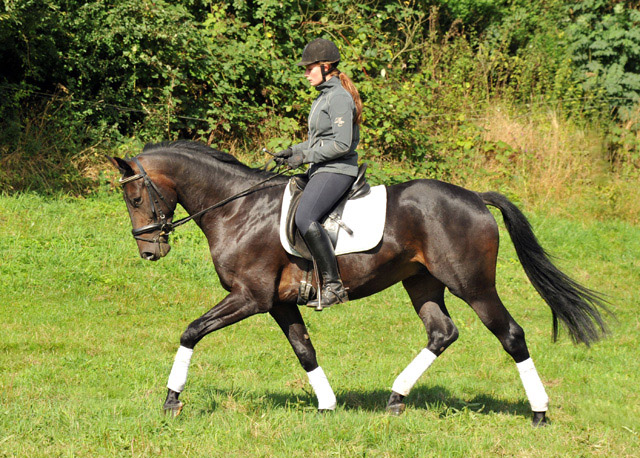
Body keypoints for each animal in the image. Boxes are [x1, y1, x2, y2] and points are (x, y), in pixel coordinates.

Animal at [107, 140, 608, 426]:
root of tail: (474, 198)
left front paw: (172, 400)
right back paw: (395, 399)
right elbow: (305, 351)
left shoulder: (250, 297)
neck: (236, 208)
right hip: (422, 283)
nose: (149, 252)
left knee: (511, 336)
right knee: (442, 333)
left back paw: (539, 412)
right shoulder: (279, 303)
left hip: (475, 286)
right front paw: (328, 406)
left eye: (135, 197)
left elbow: (191, 331)